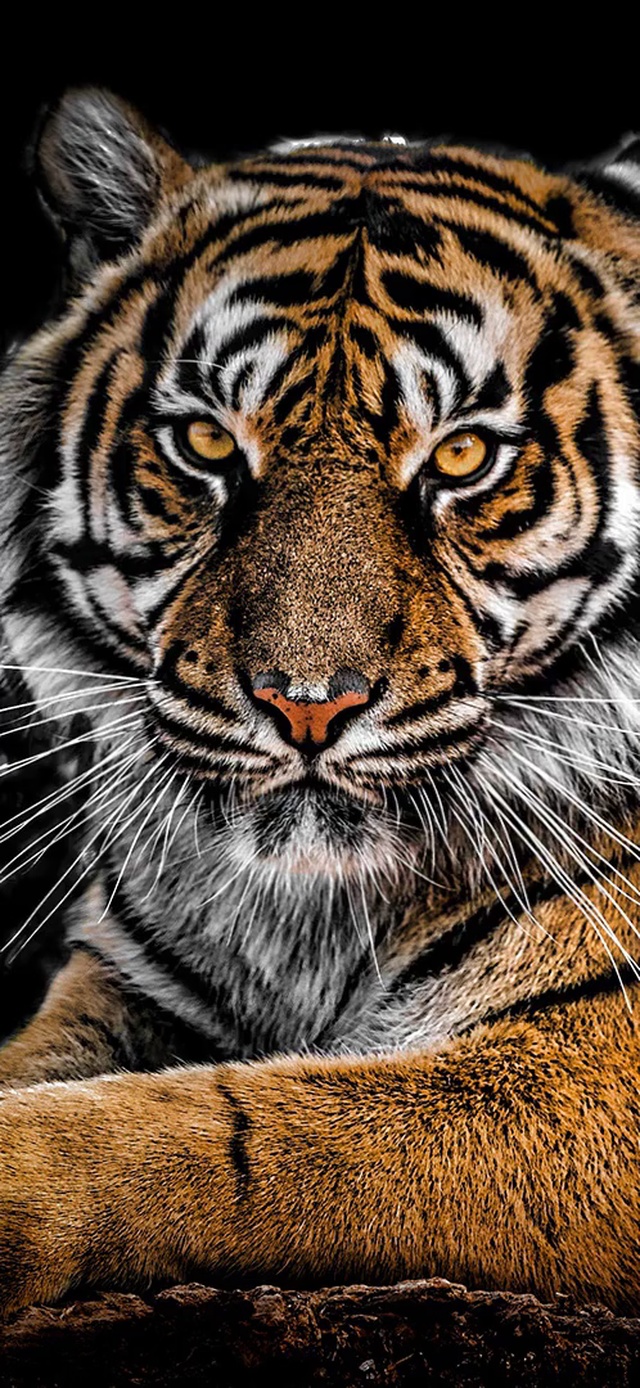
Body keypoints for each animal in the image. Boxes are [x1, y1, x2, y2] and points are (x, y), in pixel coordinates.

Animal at [0, 86, 640, 1318]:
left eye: (464, 457)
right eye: (206, 440)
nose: (304, 703)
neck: (310, 917)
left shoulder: (593, 1058)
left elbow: (247, 1128)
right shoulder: (126, 987)